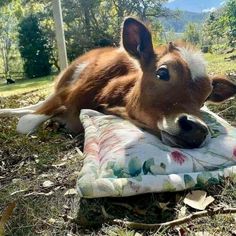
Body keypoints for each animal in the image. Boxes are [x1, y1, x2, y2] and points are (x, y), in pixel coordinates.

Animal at [0, 17, 236, 148]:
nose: (197, 129)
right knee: (33, 106)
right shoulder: (64, 95)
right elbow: (26, 123)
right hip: (63, 82)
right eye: (162, 73)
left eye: (206, 97)